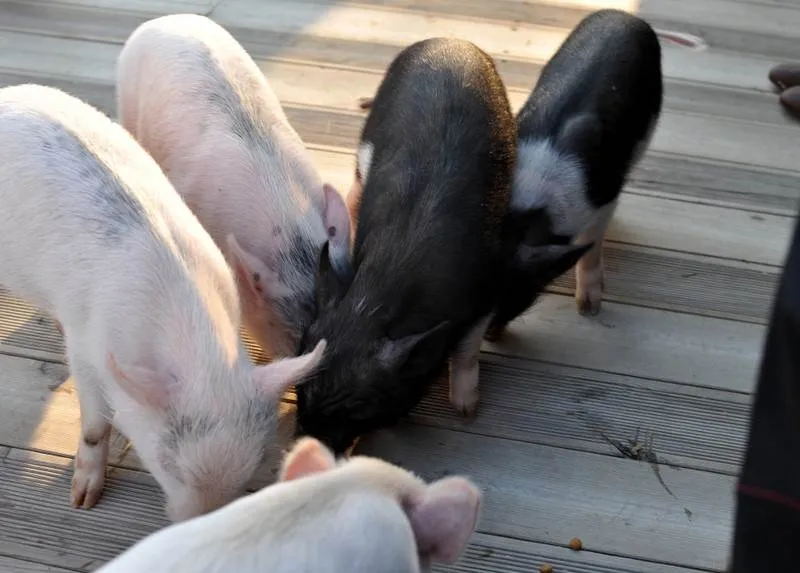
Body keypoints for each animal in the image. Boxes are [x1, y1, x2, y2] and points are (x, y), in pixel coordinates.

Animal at [0, 83, 327, 521]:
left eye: (255, 464)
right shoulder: (87, 344)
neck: (199, 352)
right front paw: (82, 501)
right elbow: (94, 424)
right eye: (169, 466)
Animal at [295, 37, 516, 454]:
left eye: (358, 412)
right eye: (299, 390)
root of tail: (448, 40)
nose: (301, 448)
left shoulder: (492, 282)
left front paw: (467, 411)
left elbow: (468, 347)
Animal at [485, 8, 663, 340]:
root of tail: (622, 15)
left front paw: (589, 310)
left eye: (523, 290)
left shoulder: (603, 195)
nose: (490, 335)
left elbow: (591, 247)